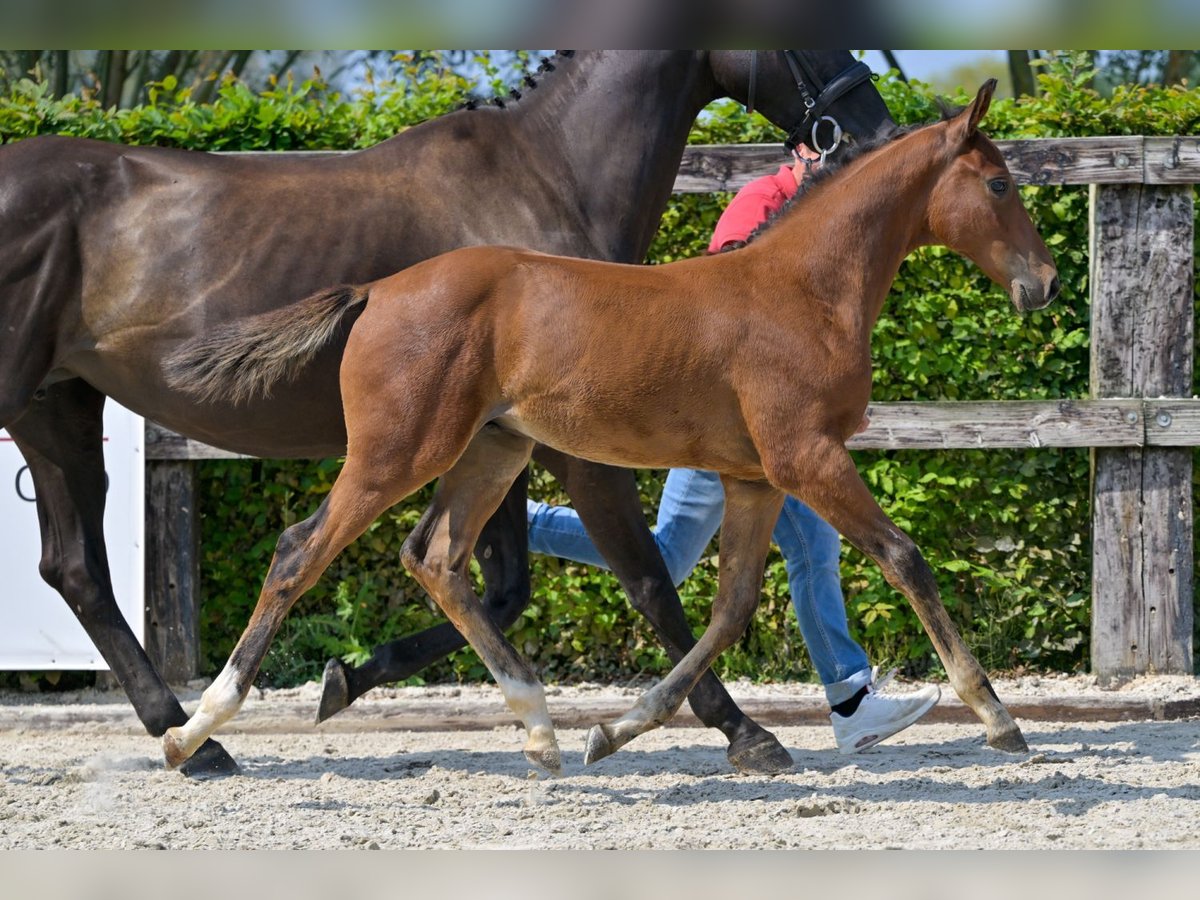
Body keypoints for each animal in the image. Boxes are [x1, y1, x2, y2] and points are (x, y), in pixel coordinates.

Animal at [0, 51, 888, 777]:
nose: (873, 125)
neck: (545, 174)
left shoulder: (502, 440)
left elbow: (495, 583)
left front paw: (348, 678)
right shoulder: (569, 447)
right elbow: (644, 579)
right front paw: (741, 732)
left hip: (58, 409)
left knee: (76, 570)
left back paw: (193, 738)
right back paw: (193, 735)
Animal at [162, 81, 1060, 777]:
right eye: (998, 185)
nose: (1046, 284)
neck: (802, 288)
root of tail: (377, 291)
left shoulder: (755, 476)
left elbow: (729, 608)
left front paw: (618, 731)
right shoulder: (805, 457)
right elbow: (904, 558)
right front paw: (997, 717)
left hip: (493, 449)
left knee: (438, 560)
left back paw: (540, 730)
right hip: (397, 451)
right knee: (300, 552)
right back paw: (192, 731)